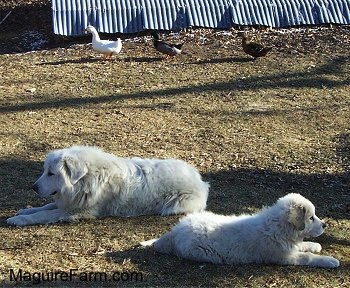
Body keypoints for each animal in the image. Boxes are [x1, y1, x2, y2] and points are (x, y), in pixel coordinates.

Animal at [6, 146, 209, 227]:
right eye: (45, 171)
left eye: (51, 173)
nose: (33, 187)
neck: (85, 180)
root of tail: (201, 180)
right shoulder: (69, 202)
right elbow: (46, 206)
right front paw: (24, 210)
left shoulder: (76, 211)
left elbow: (44, 214)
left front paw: (19, 220)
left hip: (175, 205)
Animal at [142, 194, 340, 268]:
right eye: (311, 218)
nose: (325, 225)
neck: (278, 226)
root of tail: (174, 232)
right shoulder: (283, 256)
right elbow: (307, 257)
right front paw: (329, 260)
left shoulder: (288, 246)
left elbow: (304, 245)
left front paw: (314, 245)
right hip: (201, 252)